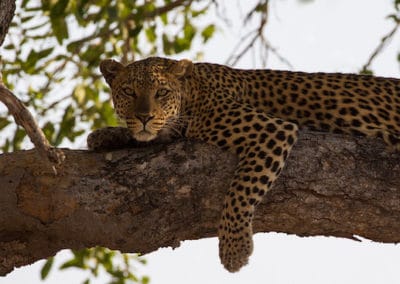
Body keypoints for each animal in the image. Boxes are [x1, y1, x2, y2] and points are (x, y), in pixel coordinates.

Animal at [87, 56, 400, 272]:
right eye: (128, 92)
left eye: (161, 92)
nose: (144, 117)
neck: (192, 92)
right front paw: (103, 135)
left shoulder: (273, 130)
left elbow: (241, 189)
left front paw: (234, 249)